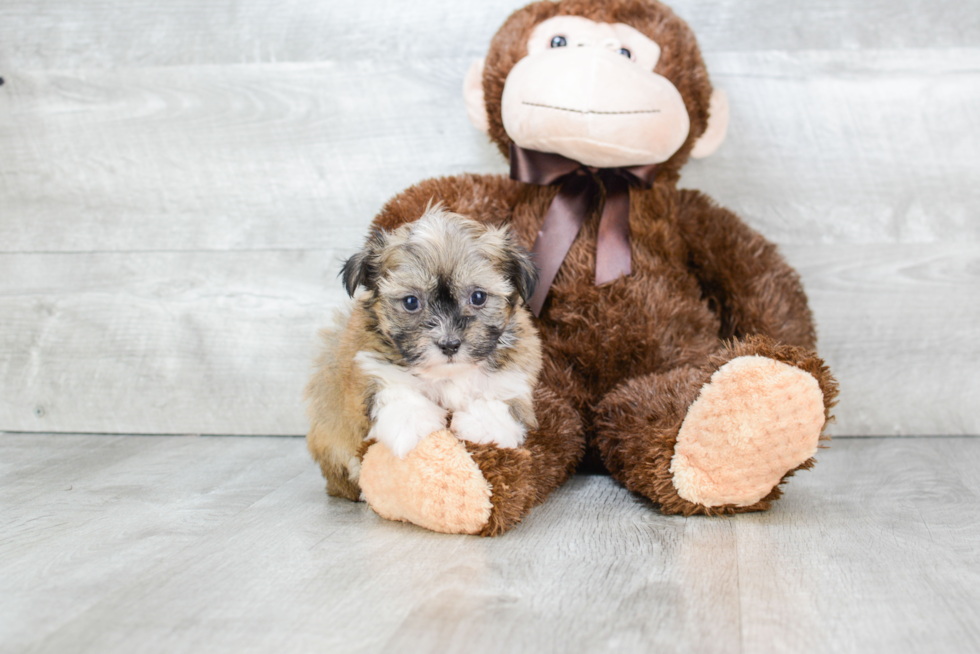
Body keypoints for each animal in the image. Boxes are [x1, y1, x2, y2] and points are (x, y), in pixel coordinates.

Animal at [304, 208, 540, 500]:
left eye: (478, 297)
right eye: (411, 302)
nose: (449, 344)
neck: (448, 374)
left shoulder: (517, 369)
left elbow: (502, 398)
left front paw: (482, 425)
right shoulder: (366, 364)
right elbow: (394, 391)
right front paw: (413, 423)